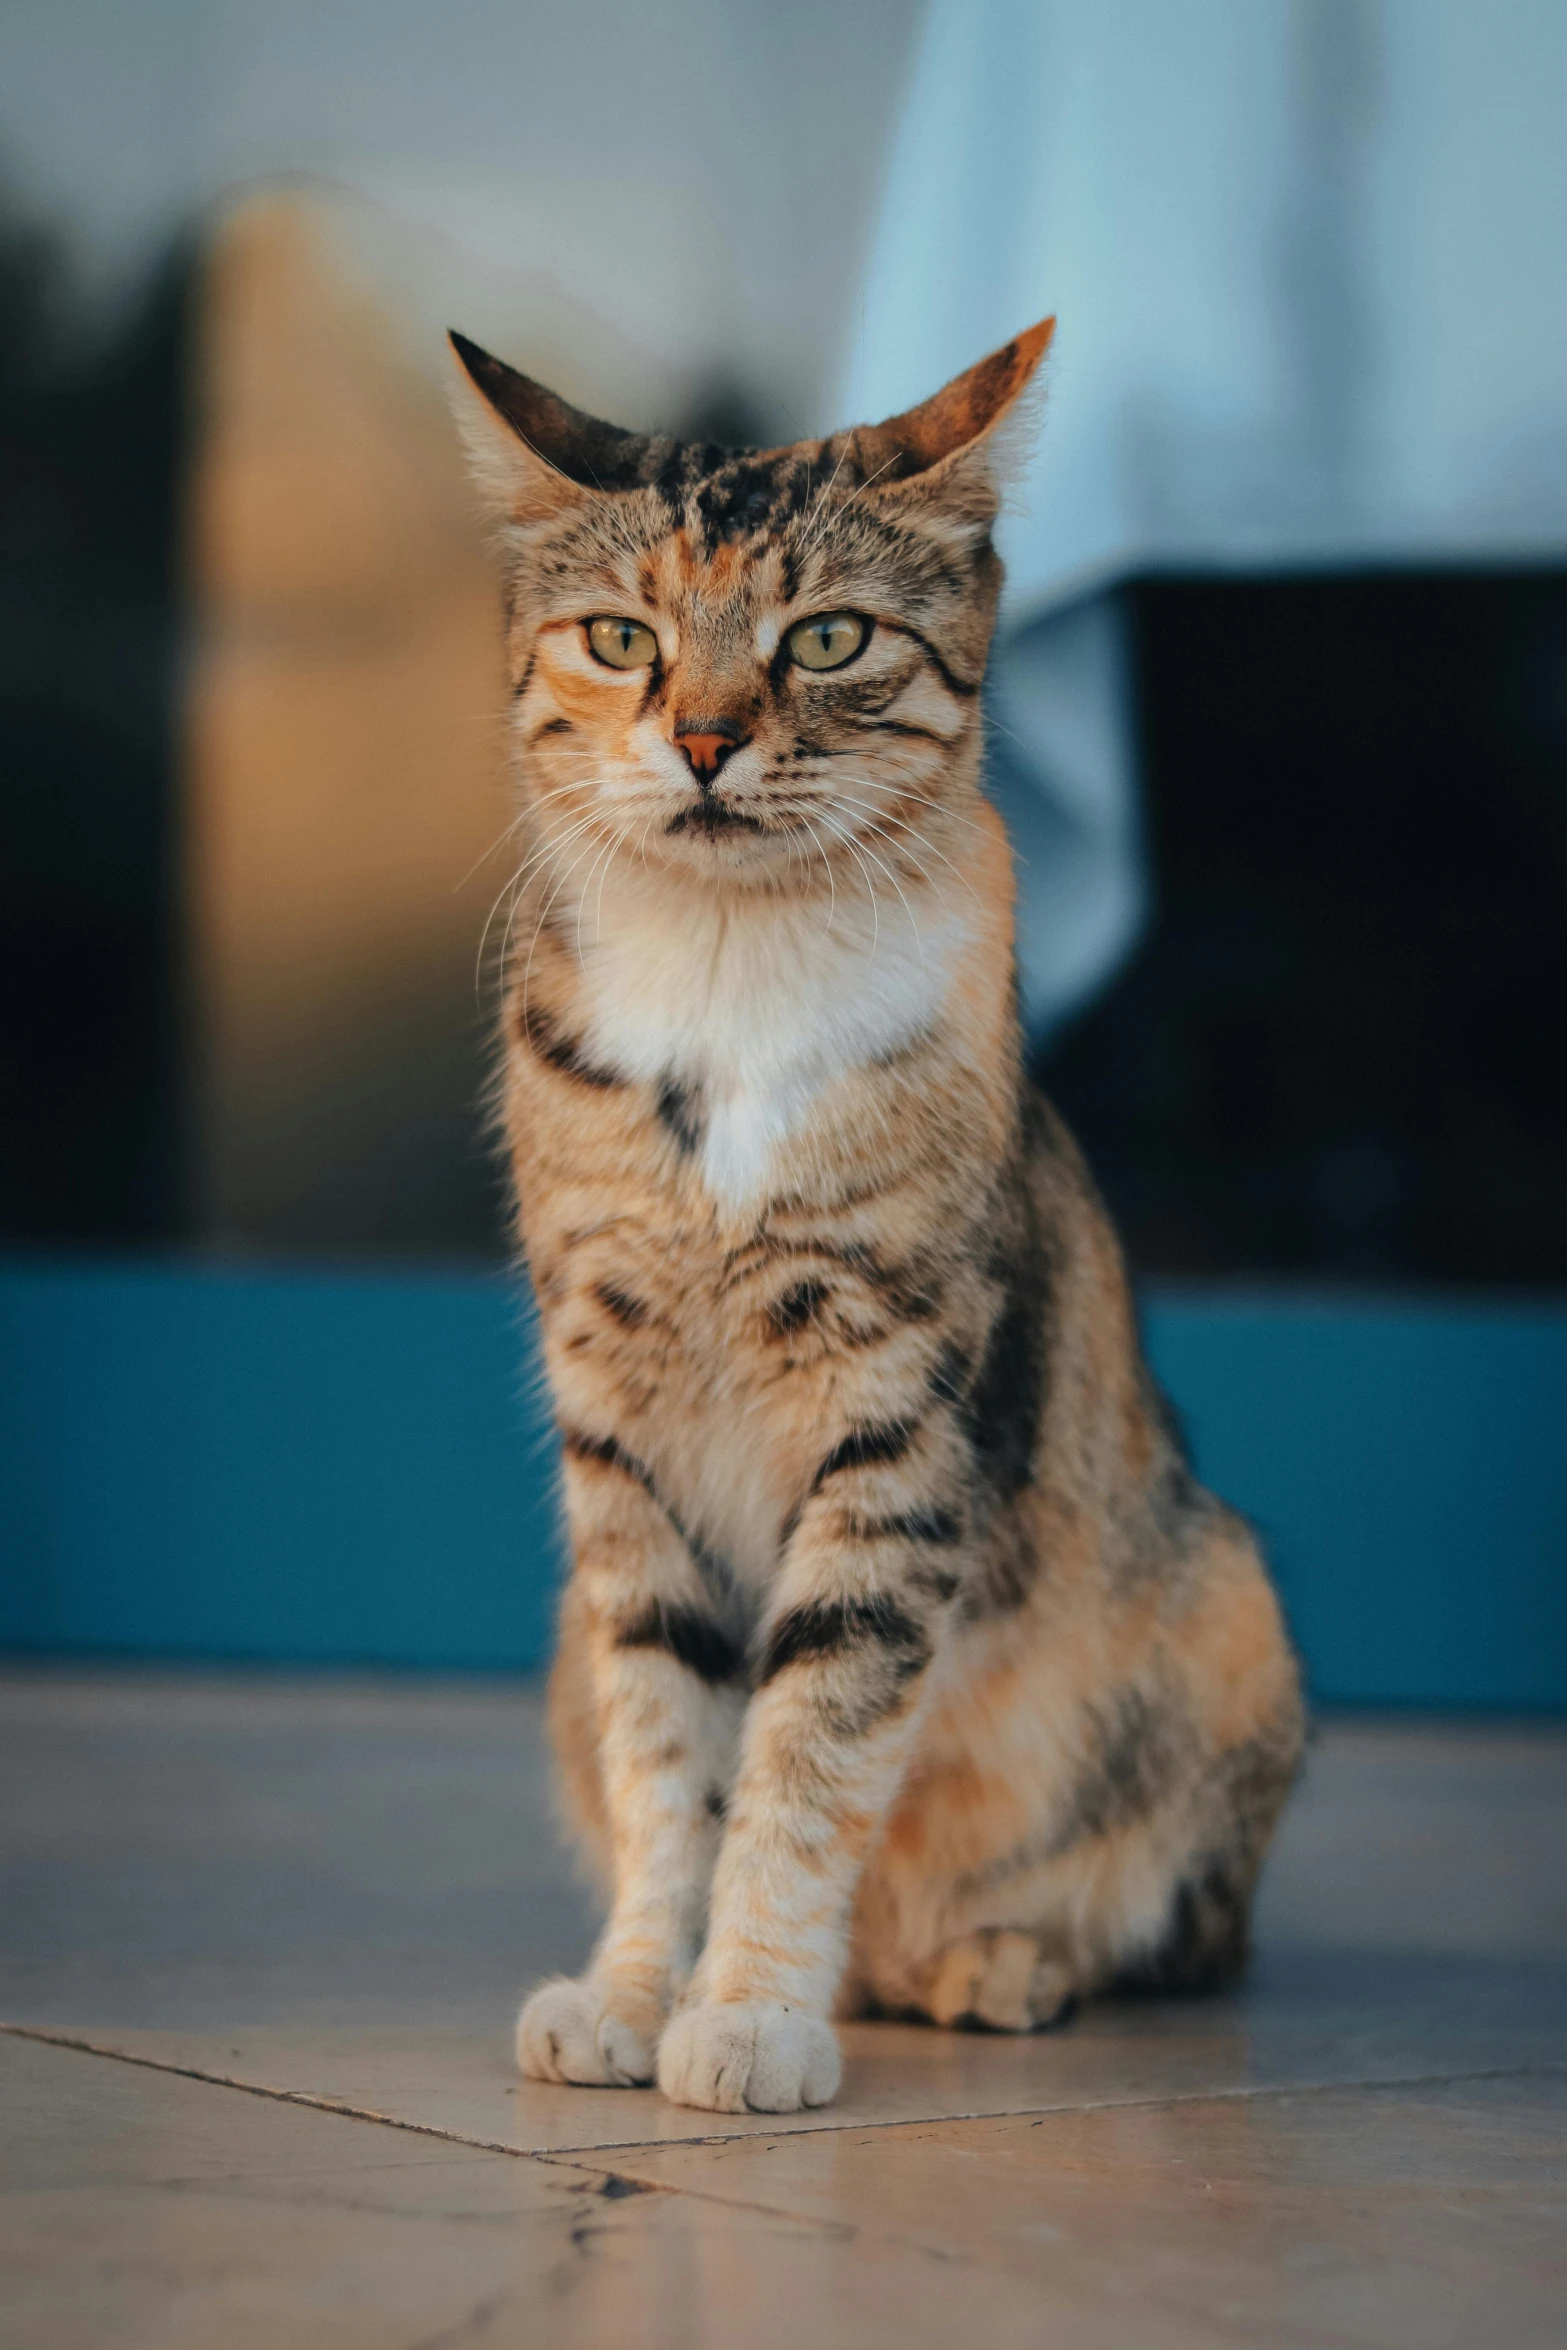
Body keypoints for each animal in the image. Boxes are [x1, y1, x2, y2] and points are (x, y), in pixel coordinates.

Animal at [451, 321, 1296, 2124]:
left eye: (826, 635)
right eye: (619, 638)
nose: (703, 739)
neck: (724, 972)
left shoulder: (893, 1411)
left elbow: (812, 1740)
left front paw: (751, 2013)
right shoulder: (617, 1430)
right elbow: (667, 1740)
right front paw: (638, 1991)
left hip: (1228, 1610)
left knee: (1163, 1925)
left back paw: (994, 1961)